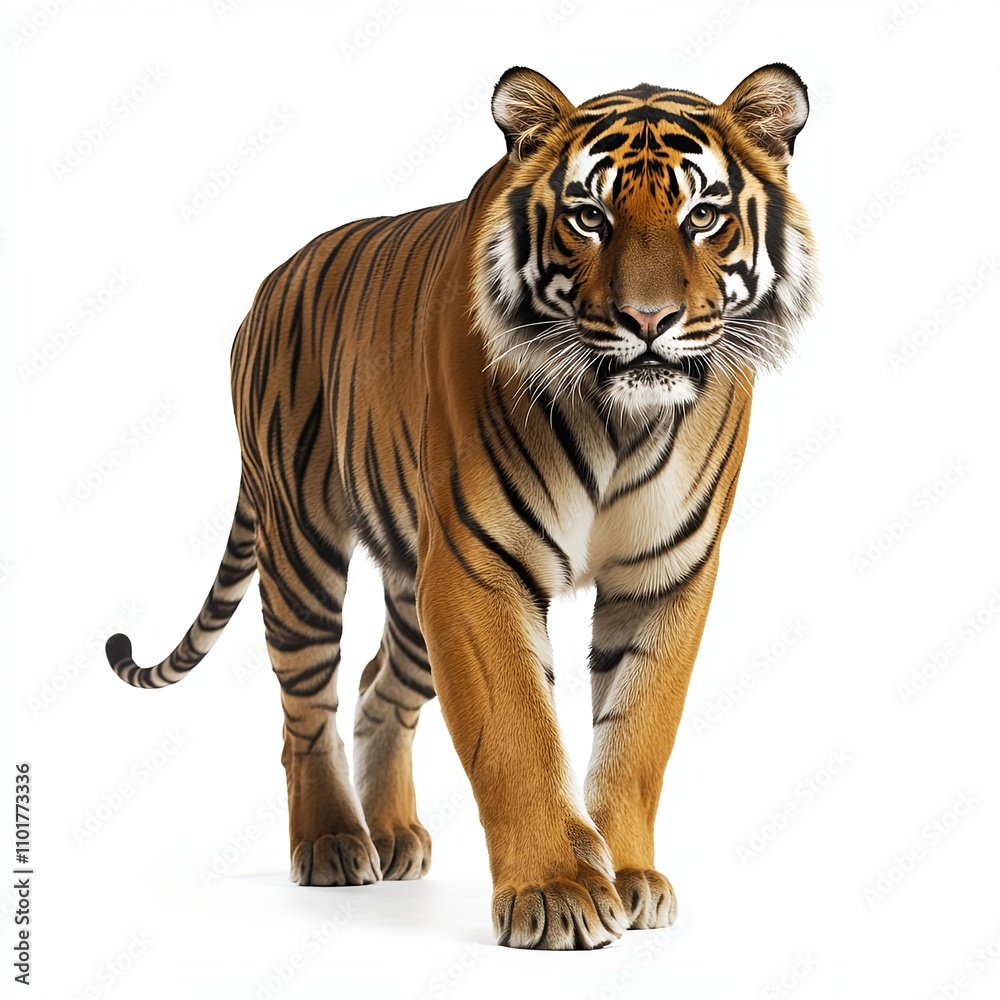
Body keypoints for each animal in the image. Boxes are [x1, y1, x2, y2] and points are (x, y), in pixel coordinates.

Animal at [106, 63, 816, 950]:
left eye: (704, 216)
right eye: (590, 216)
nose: (649, 321)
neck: (620, 419)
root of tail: (269, 284)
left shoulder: (665, 573)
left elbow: (636, 737)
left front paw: (631, 877)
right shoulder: (480, 567)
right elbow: (517, 732)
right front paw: (557, 891)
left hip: (412, 581)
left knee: (379, 685)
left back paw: (394, 837)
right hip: (301, 543)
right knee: (306, 704)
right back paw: (333, 843)